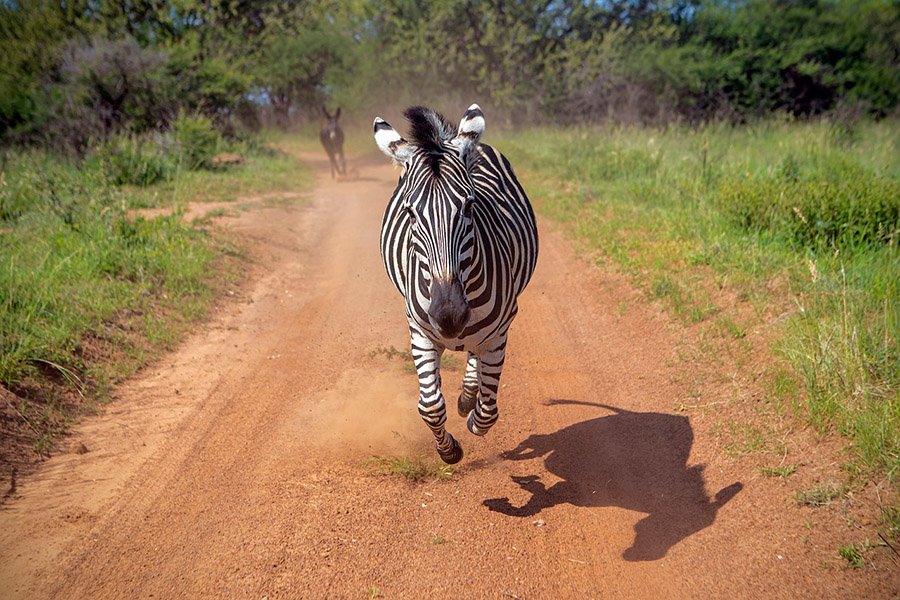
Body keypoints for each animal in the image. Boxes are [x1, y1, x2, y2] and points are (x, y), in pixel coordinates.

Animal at [373, 104, 538, 464]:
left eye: (469, 205)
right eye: (410, 213)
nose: (449, 316)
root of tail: (448, 137)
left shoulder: (499, 331)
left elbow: (488, 413)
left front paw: (472, 413)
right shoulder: (420, 331)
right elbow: (430, 406)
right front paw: (448, 451)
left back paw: (468, 396)